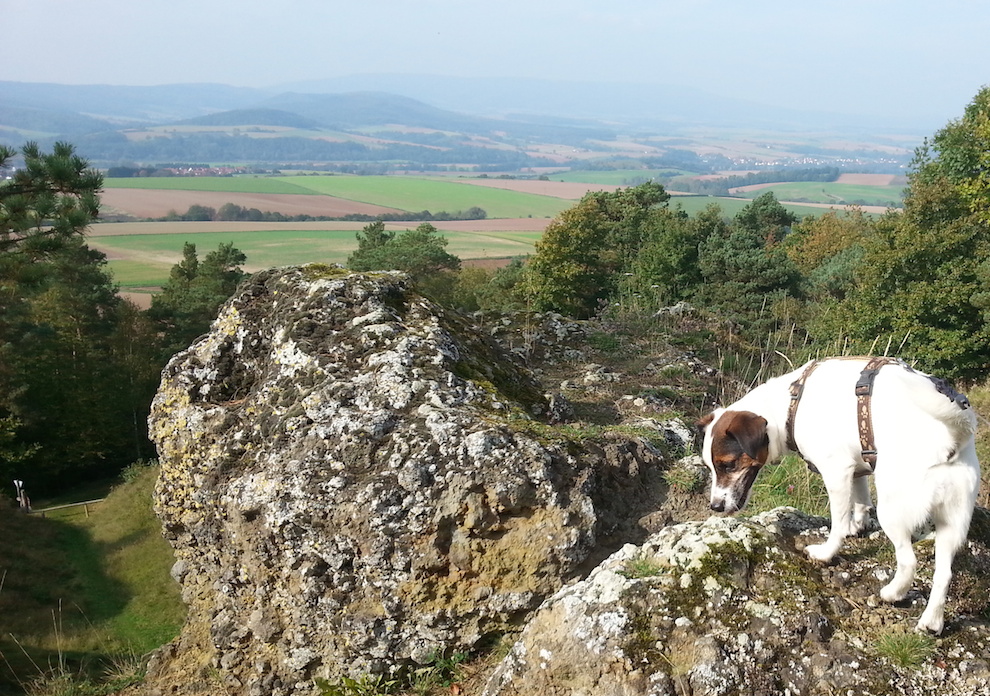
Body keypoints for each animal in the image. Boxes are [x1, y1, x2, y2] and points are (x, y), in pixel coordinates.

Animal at [697, 357, 980, 634]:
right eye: (710, 466)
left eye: (728, 465)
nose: (715, 506)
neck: (791, 404)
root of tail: (949, 440)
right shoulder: (858, 467)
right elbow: (861, 500)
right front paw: (859, 525)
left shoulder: (836, 472)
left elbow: (839, 523)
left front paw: (828, 551)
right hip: (952, 522)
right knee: (944, 574)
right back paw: (932, 621)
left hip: (892, 510)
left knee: (909, 561)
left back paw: (892, 593)